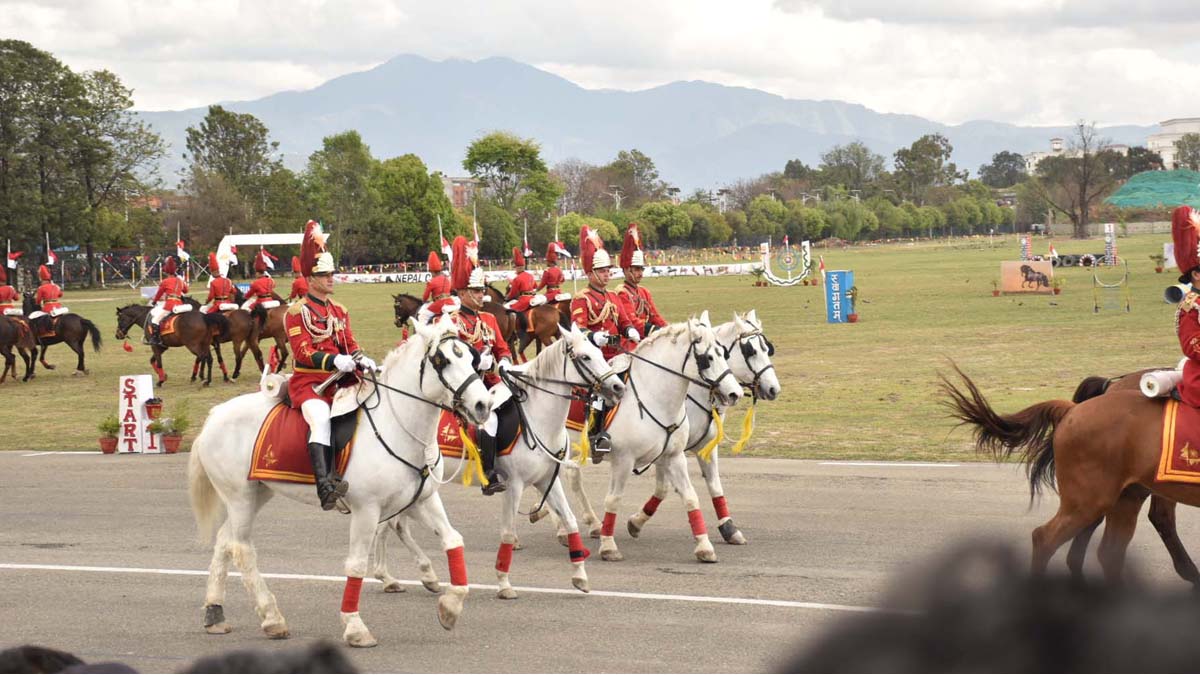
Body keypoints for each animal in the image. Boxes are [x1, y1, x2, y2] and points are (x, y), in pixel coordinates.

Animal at [187, 314, 487, 648]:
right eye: (440, 360)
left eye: (472, 356)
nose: (482, 405)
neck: (397, 425)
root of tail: (214, 415)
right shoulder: (367, 510)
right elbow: (356, 564)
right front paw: (355, 626)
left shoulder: (421, 500)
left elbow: (453, 539)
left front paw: (451, 605)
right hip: (240, 498)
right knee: (241, 548)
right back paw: (272, 617)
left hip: (256, 494)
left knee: (225, 541)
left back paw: (215, 612)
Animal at [369, 324, 624, 595]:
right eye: (585, 357)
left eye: (599, 352)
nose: (618, 387)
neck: (537, 417)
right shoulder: (514, 485)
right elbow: (508, 534)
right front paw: (503, 582)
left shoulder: (547, 480)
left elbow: (570, 520)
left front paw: (580, 575)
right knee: (392, 526)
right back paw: (399, 575)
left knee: (391, 526)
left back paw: (397, 577)